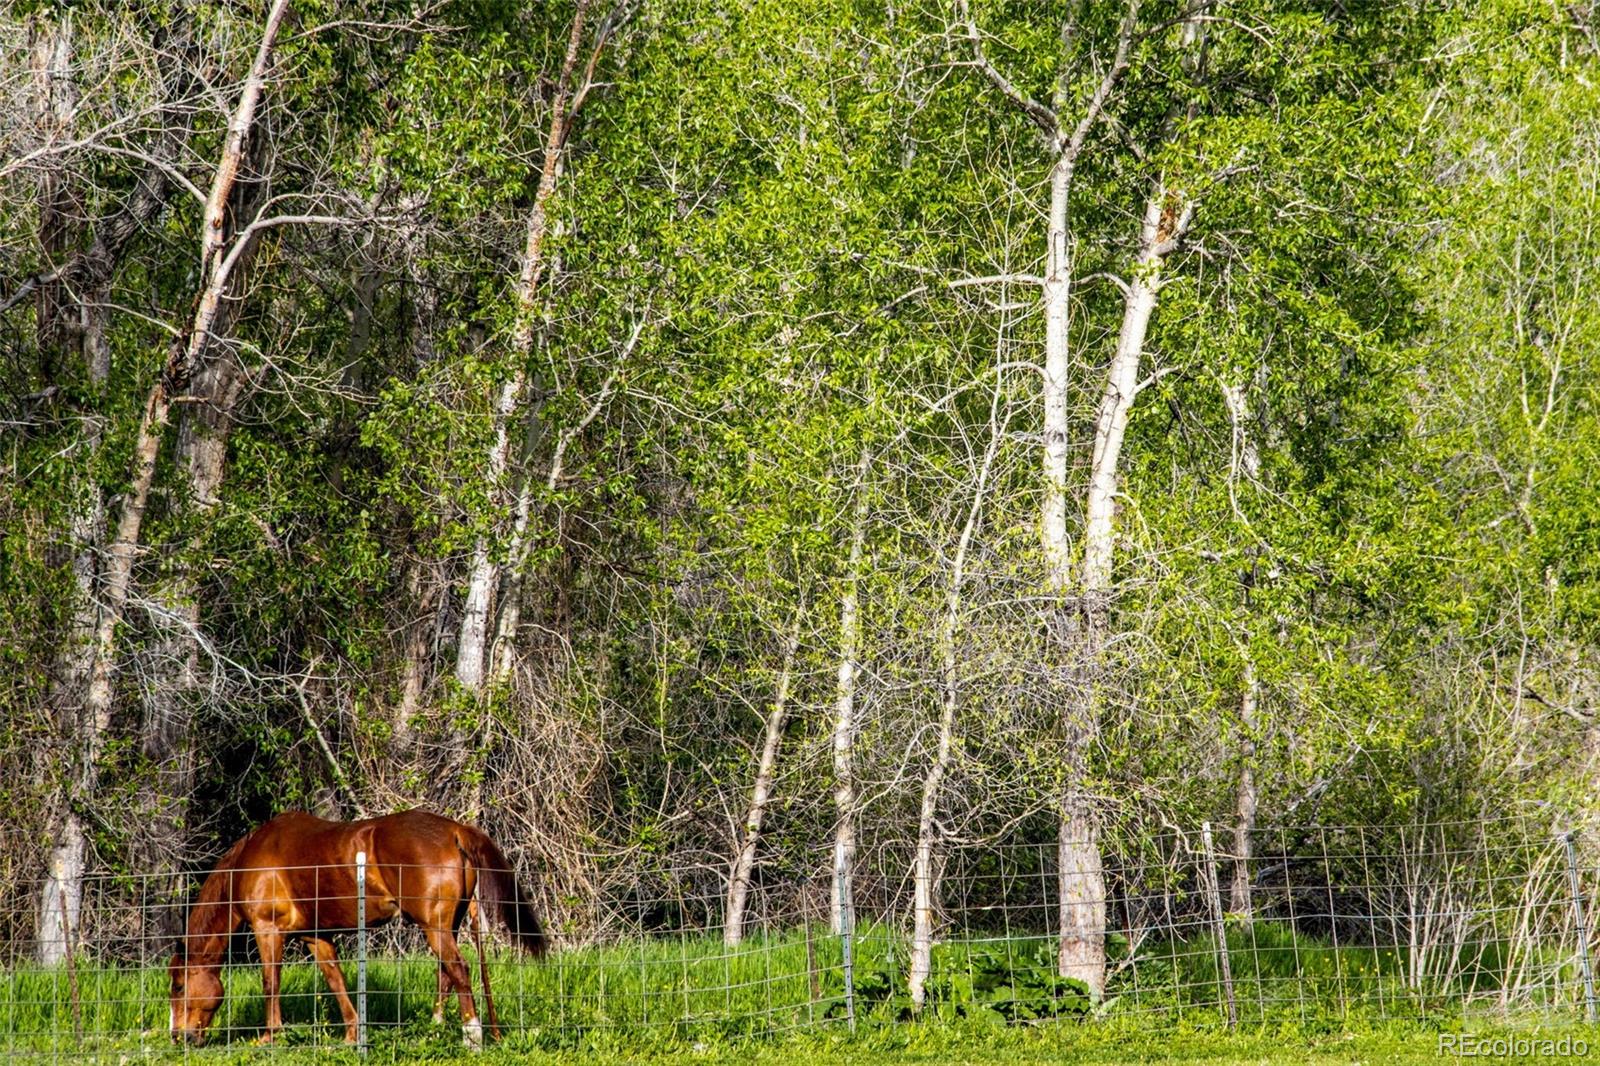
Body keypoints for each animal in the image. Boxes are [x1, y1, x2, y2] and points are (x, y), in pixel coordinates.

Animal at [167, 806, 544, 1043]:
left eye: (179, 986)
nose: (179, 1036)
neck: (251, 860)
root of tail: (455, 829)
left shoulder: (267, 929)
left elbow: (270, 982)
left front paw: (270, 1036)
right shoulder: (315, 936)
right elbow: (336, 980)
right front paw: (352, 1034)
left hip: (435, 927)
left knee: (459, 969)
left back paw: (472, 1036)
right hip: (444, 926)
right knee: (446, 974)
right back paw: (437, 1028)